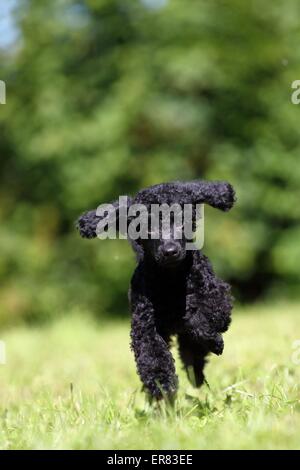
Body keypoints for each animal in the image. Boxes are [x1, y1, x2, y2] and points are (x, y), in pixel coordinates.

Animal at [77, 180, 237, 400]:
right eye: (147, 227)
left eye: (181, 221)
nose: (170, 251)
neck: (170, 280)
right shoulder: (145, 325)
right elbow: (153, 356)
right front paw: (162, 388)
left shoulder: (216, 294)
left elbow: (203, 319)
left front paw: (214, 341)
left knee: (192, 352)